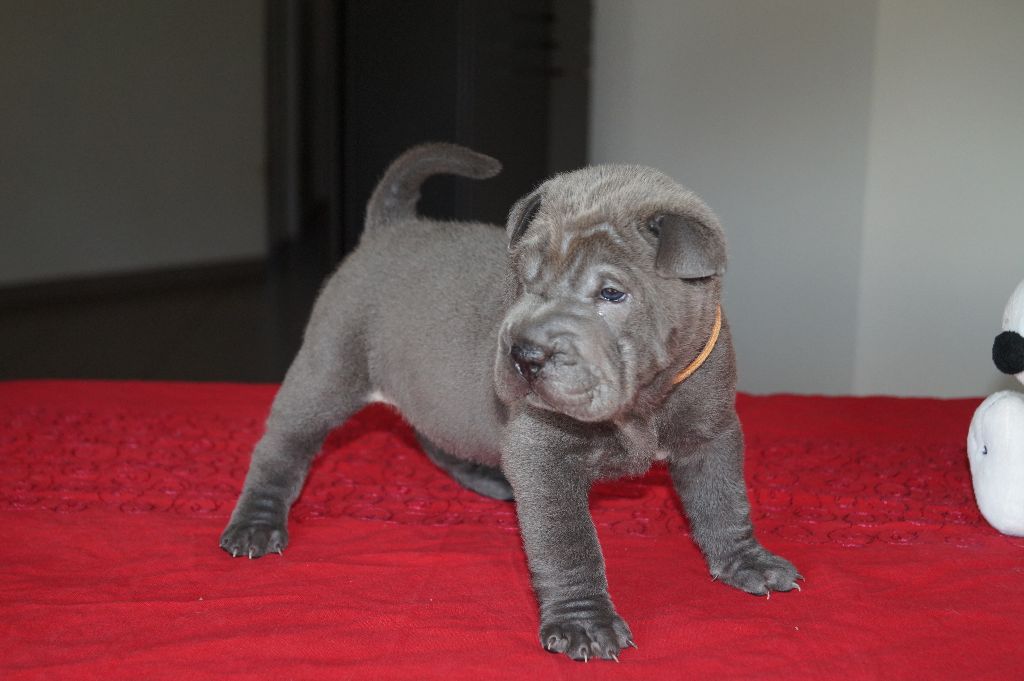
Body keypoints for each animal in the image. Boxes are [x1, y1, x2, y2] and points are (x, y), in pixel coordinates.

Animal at [221, 143, 800, 662]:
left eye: (611, 294)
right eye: (524, 280)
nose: (523, 353)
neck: (642, 399)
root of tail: (389, 228)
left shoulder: (711, 434)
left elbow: (724, 502)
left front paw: (746, 561)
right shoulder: (544, 455)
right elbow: (569, 543)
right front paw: (584, 623)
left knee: (438, 436)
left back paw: (489, 476)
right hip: (327, 372)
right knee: (281, 449)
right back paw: (256, 524)